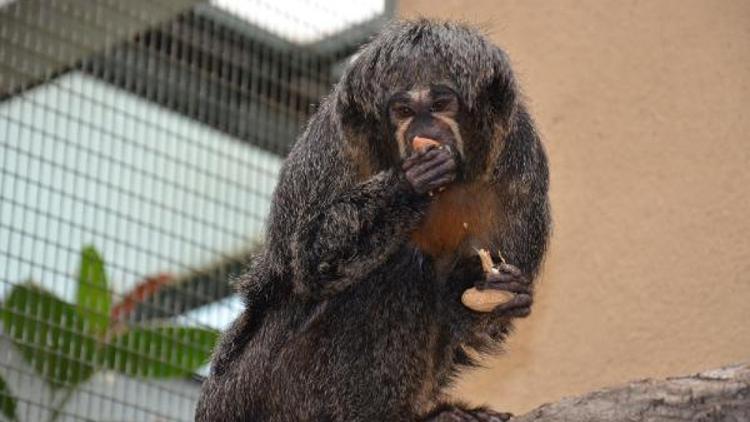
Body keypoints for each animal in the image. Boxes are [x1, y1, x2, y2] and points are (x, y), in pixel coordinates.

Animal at [195, 19, 552, 422]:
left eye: (441, 105)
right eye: (403, 110)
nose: (424, 129)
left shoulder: (521, 168)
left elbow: (462, 315)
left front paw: (503, 290)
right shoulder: (333, 146)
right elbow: (310, 262)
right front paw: (410, 183)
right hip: (253, 392)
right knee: (396, 268)